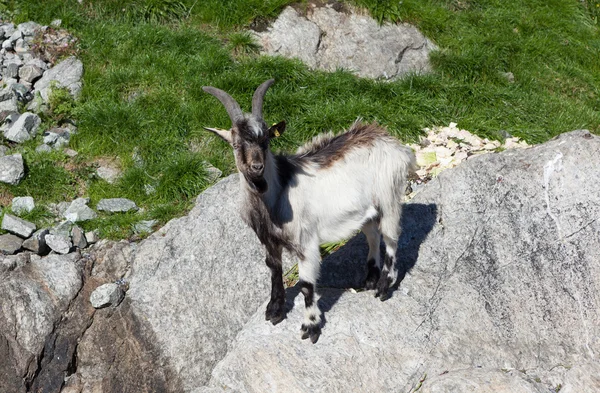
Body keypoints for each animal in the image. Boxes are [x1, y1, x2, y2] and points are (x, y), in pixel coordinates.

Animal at [204, 78, 414, 342]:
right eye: (235, 144)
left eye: (266, 141)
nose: (257, 167)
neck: (275, 195)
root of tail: (393, 141)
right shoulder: (268, 239)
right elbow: (273, 268)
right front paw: (274, 310)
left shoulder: (306, 242)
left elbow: (306, 285)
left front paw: (310, 327)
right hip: (364, 209)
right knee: (373, 235)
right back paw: (369, 280)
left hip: (389, 194)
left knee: (391, 236)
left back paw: (385, 286)